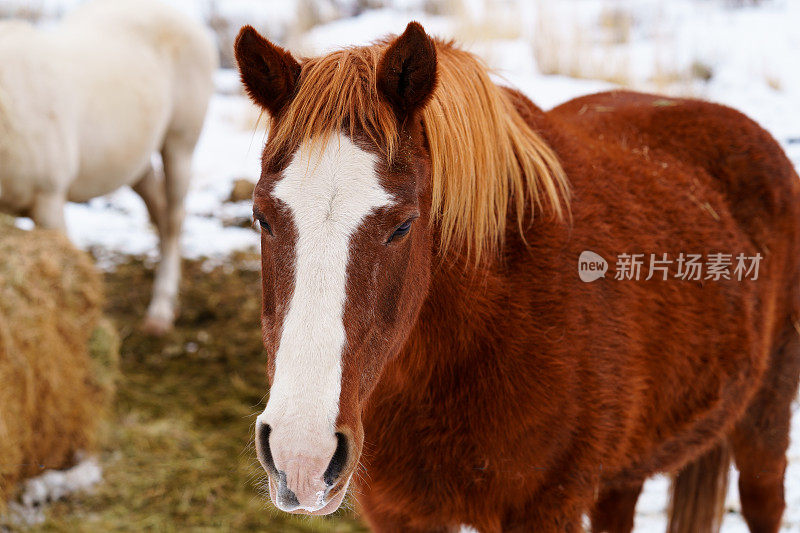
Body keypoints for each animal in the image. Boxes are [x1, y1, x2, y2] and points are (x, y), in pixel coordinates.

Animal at [0, 0, 217, 332]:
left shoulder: (49, 201)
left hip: (180, 144)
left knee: (174, 218)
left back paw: (161, 311)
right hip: (136, 159)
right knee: (159, 209)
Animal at [234, 21, 800, 532]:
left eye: (403, 225)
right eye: (262, 217)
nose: (301, 455)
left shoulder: (545, 510)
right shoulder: (401, 514)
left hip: (764, 422)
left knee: (763, 500)